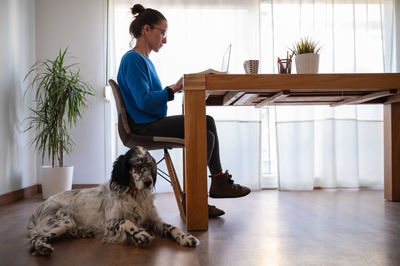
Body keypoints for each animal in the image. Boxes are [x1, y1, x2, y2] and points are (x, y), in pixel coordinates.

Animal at [27, 145, 199, 256]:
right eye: (137, 165)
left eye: (150, 165)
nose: (148, 182)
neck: (134, 195)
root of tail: (38, 209)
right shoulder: (109, 223)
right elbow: (126, 222)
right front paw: (140, 234)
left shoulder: (153, 220)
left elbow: (172, 227)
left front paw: (186, 237)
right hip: (63, 221)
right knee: (35, 239)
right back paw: (42, 248)